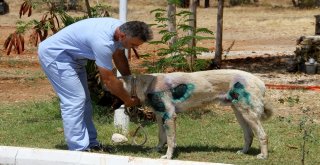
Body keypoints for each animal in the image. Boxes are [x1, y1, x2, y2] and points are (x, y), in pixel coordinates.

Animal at [119, 69, 272, 160]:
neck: (148, 84)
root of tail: (261, 82)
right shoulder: (160, 116)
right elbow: (161, 137)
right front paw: (157, 149)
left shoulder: (170, 116)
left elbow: (170, 140)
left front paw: (168, 156)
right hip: (240, 113)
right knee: (249, 135)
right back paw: (244, 151)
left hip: (248, 114)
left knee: (263, 135)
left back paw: (263, 156)